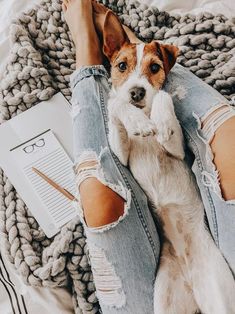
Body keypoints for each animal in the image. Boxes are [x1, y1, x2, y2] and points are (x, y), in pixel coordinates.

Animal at [101, 9, 235, 314]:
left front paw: (159, 120)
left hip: (221, 294)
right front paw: (135, 120)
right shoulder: (121, 152)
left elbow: (163, 97)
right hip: (165, 300)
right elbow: (115, 106)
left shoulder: (178, 150)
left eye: (154, 68)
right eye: (121, 65)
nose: (136, 92)